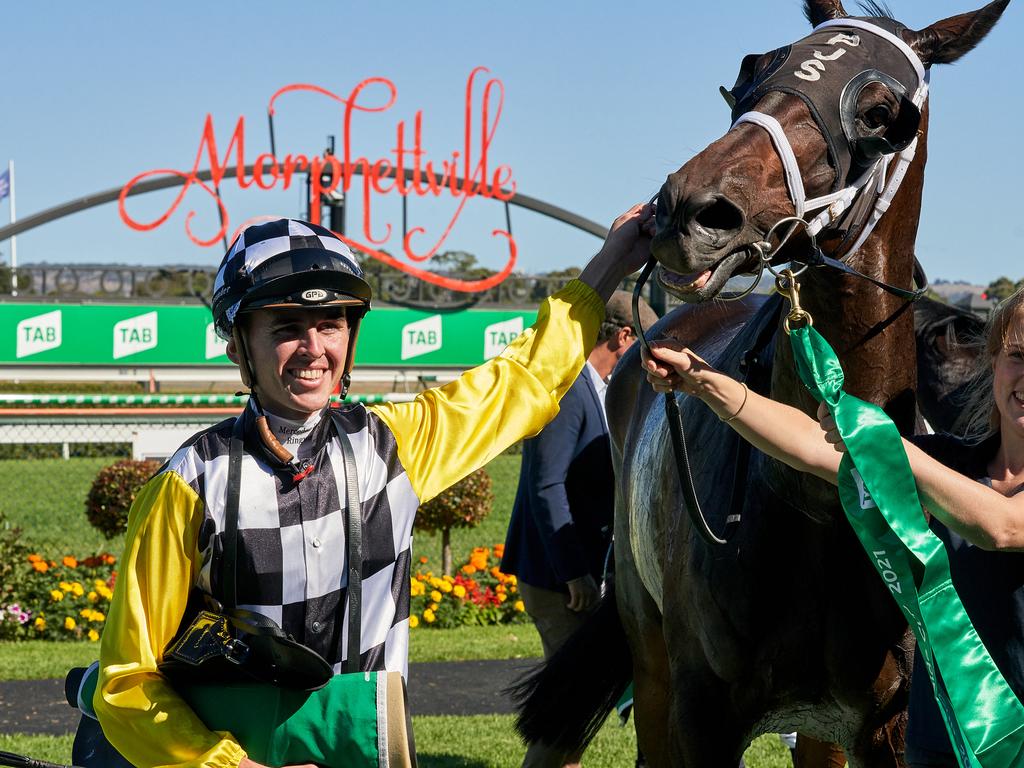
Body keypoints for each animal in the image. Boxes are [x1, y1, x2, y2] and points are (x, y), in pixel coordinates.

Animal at [516, 3, 1011, 765]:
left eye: (880, 113)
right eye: (754, 69)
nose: (690, 209)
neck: (818, 503)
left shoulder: (890, 725)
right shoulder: (702, 713)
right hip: (648, 651)